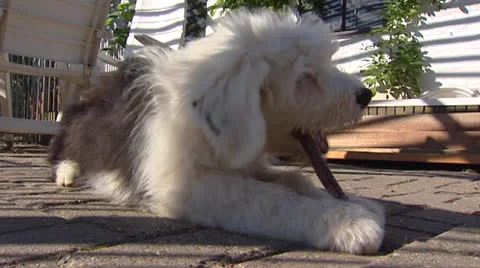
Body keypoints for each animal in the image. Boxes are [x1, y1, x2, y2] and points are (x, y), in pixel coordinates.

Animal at [48, 8, 384, 254]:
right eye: (305, 77)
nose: (365, 95)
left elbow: (294, 180)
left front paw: (358, 204)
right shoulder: (180, 182)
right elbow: (267, 197)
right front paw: (350, 223)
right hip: (79, 132)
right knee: (67, 153)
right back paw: (68, 173)